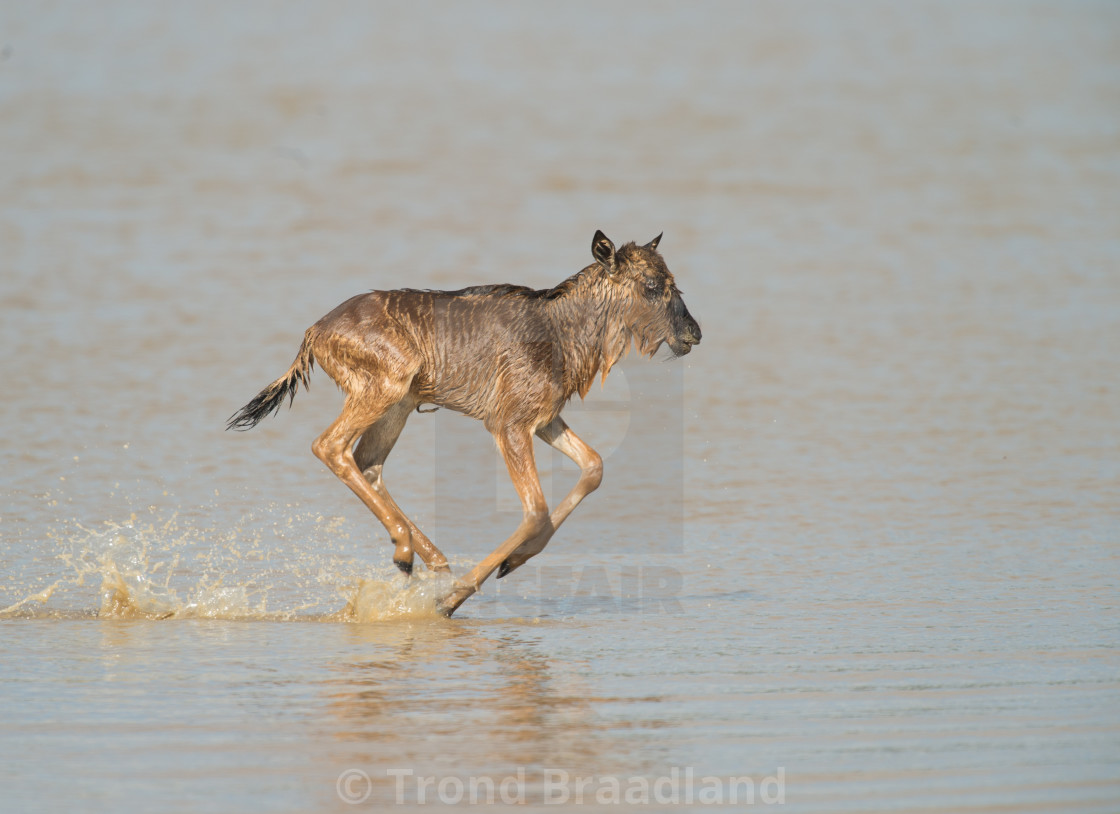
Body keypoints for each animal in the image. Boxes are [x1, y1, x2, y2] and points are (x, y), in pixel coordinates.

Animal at [227, 232, 698, 613]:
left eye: (672, 280)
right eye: (651, 285)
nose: (693, 334)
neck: (560, 331)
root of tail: (314, 332)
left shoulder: (544, 420)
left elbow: (594, 466)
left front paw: (511, 562)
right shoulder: (508, 425)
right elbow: (535, 510)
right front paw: (453, 599)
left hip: (398, 405)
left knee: (367, 463)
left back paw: (429, 561)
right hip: (384, 389)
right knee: (330, 446)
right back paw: (409, 556)